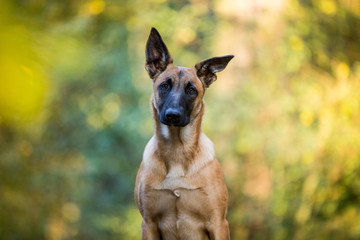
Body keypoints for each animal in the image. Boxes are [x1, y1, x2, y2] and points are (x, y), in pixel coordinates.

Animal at [135, 27, 233, 239]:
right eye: (164, 86)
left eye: (191, 90)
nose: (173, 115)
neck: (176, 151)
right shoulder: (149, 223)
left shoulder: (218, 223)